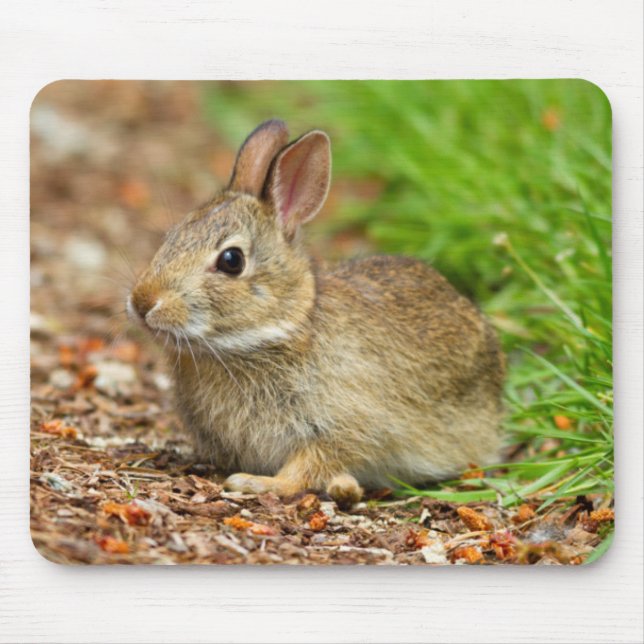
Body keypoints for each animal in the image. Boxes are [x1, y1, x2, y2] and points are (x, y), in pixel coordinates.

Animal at [128, 119, 505, 506]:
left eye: (231, 261)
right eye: (172, 236)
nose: (143, 302)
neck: (275, 331)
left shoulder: (345, 426)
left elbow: (309, 464)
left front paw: (256, 484)